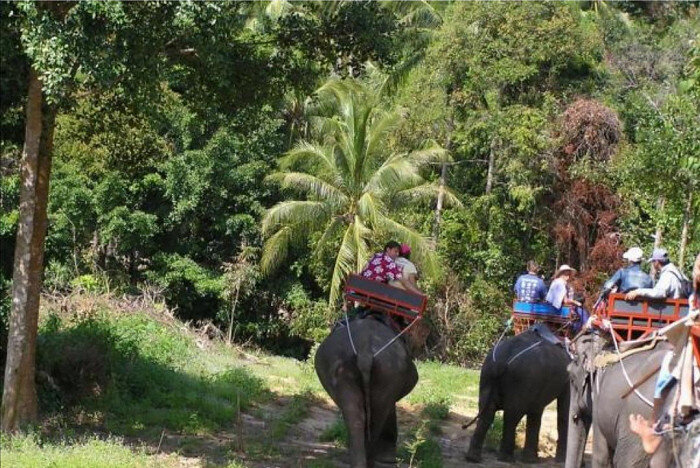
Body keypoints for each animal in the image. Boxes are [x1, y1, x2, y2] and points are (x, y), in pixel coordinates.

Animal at [462, 328, 572, 462]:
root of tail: (502, 362)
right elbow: (565, 412)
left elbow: (537, 411)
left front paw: (531, 460)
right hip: (521, 380)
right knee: (512, 416)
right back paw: (507, 458)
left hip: (488, 374)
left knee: (487, 413)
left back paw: (473, 458)